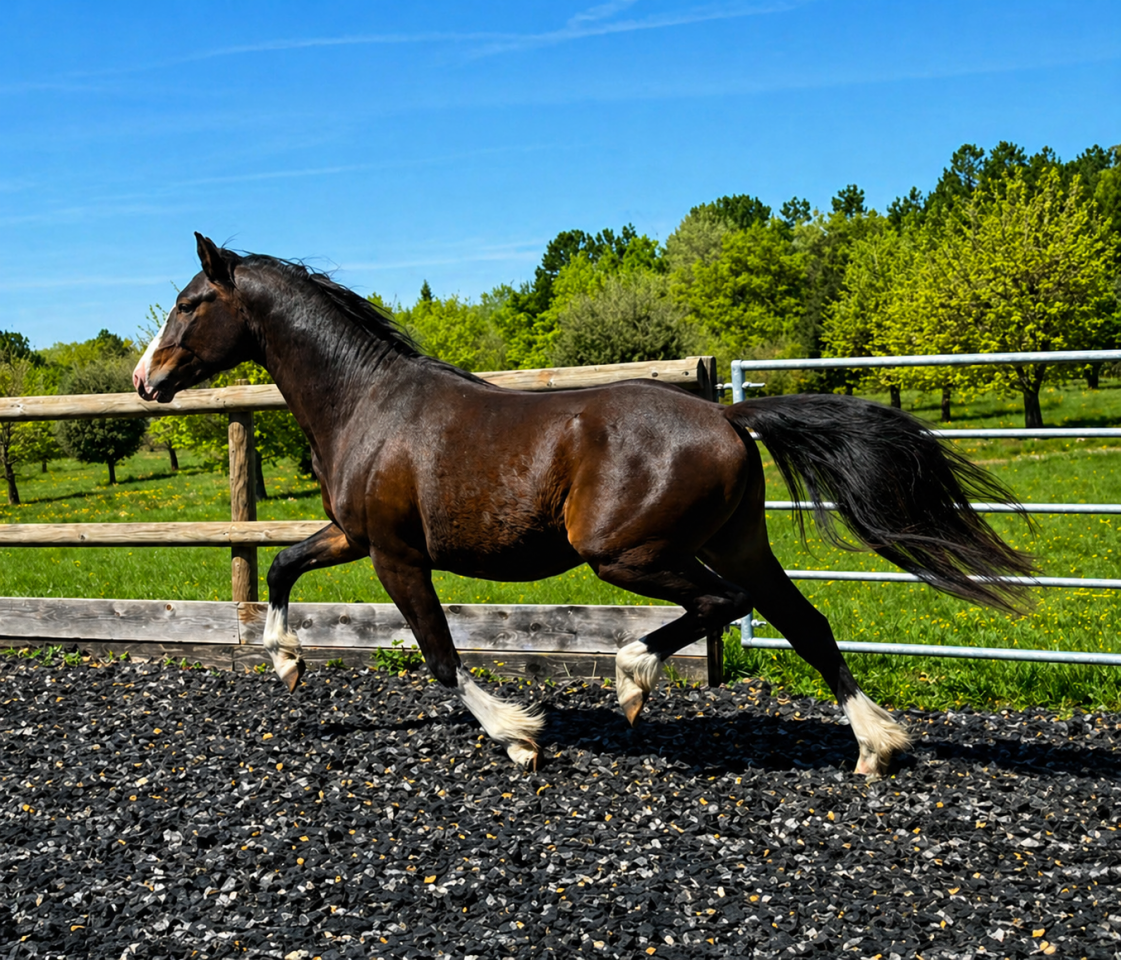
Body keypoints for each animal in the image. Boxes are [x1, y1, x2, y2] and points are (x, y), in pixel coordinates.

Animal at [134, 234, 1035, 778]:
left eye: (189, 303)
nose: (145, 380)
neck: (366, 403)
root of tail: (726, 416)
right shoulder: (352, 537)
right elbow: (282, 567)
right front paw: (287, 664)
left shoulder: (395, 555)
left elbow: (438, 653)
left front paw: (517, 736)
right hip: (739, 541)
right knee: (804, 623)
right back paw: (875, 746)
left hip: (627, 554)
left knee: (719, 604)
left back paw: (632, 679)